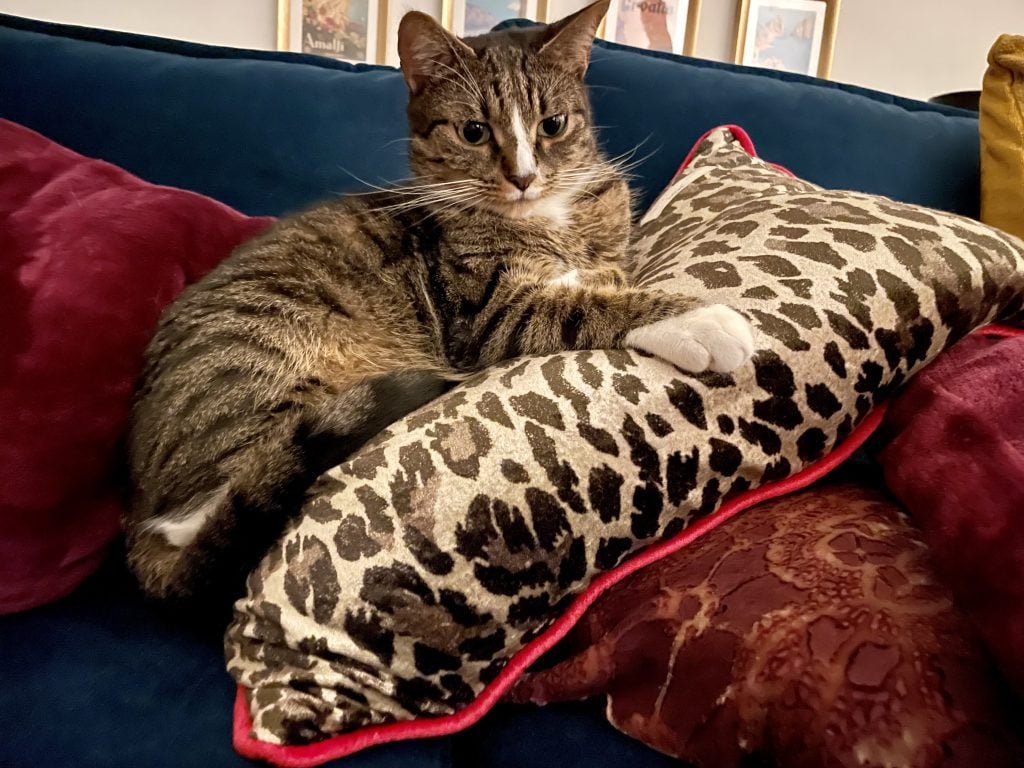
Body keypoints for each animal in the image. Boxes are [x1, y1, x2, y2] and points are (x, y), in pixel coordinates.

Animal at [125, 0, 753, 610]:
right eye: (474, 131)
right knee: (224, 499)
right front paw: (700, 318)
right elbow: (583, 305)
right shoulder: (486, 316)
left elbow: (603, 276)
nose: (523, 177)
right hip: (263, 358)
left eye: (552, 125)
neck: (542, 220)